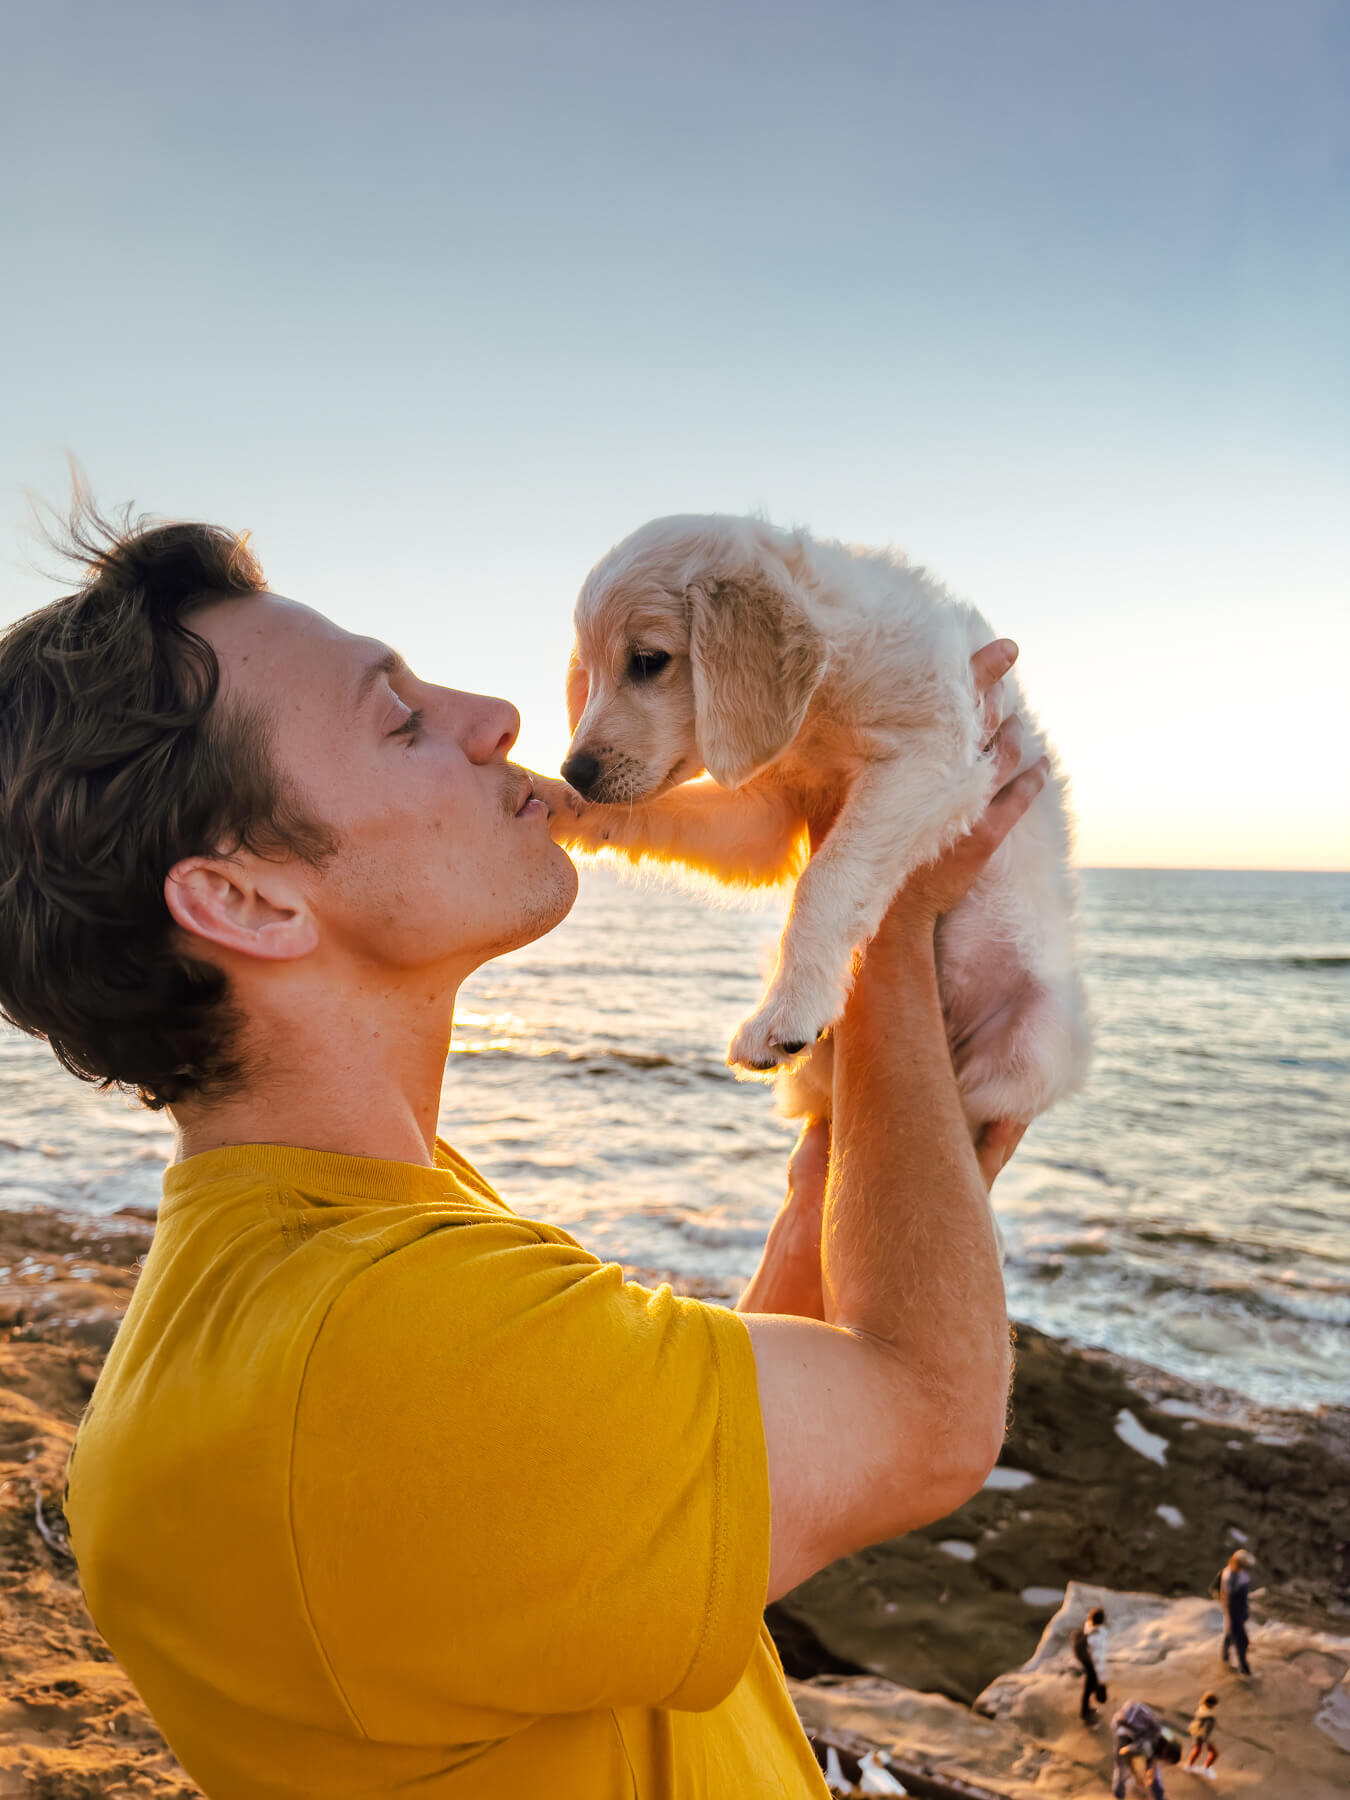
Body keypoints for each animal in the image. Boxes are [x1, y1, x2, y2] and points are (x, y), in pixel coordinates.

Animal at [554, 511, 1094, 1123]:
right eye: (590, 670)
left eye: (647, 661)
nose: (575, 772)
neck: (821, 703)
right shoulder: (765, 814)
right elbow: (661, 813)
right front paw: (555, 803)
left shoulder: (935, 755)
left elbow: (827, 880)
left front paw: (784, 1013)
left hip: (1032, 1047)